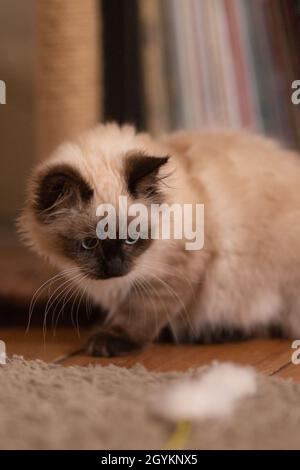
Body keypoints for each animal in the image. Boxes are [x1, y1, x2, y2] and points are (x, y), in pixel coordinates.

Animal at [19, 123, 300, 354]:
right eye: (89, 243)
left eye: (132, 240)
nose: (115, 266)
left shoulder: (170, 274)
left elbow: (139, 316)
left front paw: (110, 341)